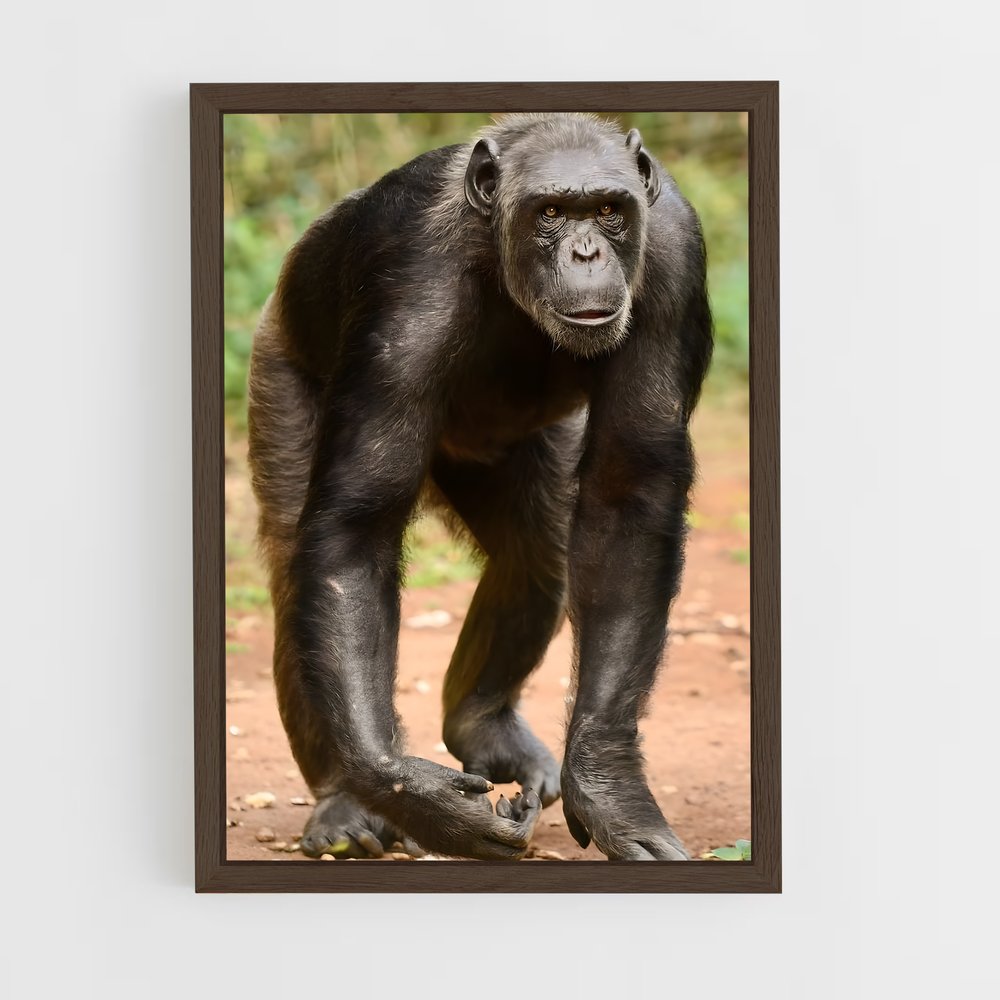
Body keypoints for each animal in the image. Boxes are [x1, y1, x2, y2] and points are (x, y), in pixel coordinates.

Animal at [247, 113, 713, 861]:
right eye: (550, 213)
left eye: (609, 212)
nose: (586, 252)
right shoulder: (405, 287)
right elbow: (358, 525)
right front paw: (415, 796)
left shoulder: (673, 258)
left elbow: (627, 495)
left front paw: (611, 792)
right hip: (277, 361)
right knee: (300, 566)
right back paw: (344, 803)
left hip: (517, 453)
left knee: (537, 552)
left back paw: (481, 727)